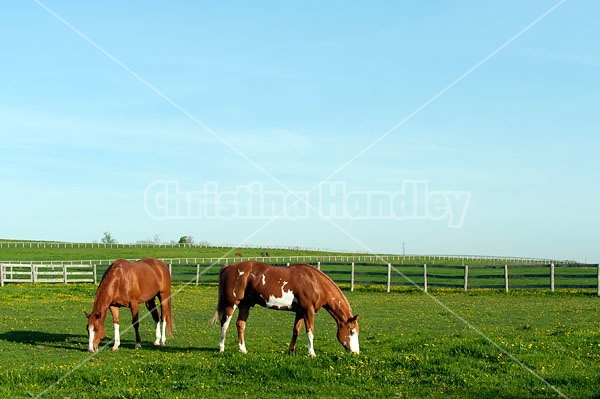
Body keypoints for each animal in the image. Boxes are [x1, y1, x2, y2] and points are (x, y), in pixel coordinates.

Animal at [211, 260, 360, 358]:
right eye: (351, 331)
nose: (356, 353)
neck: (315, 283)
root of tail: (228, 267)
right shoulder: (308, 310)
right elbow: (310, 331)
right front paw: (312, 353)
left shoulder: (300, 312)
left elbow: (296, 331)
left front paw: (291, 351)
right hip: (231, 304)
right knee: (224, 324)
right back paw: (221, 348)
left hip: (245, 305)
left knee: (240, 325)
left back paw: (243, 350)